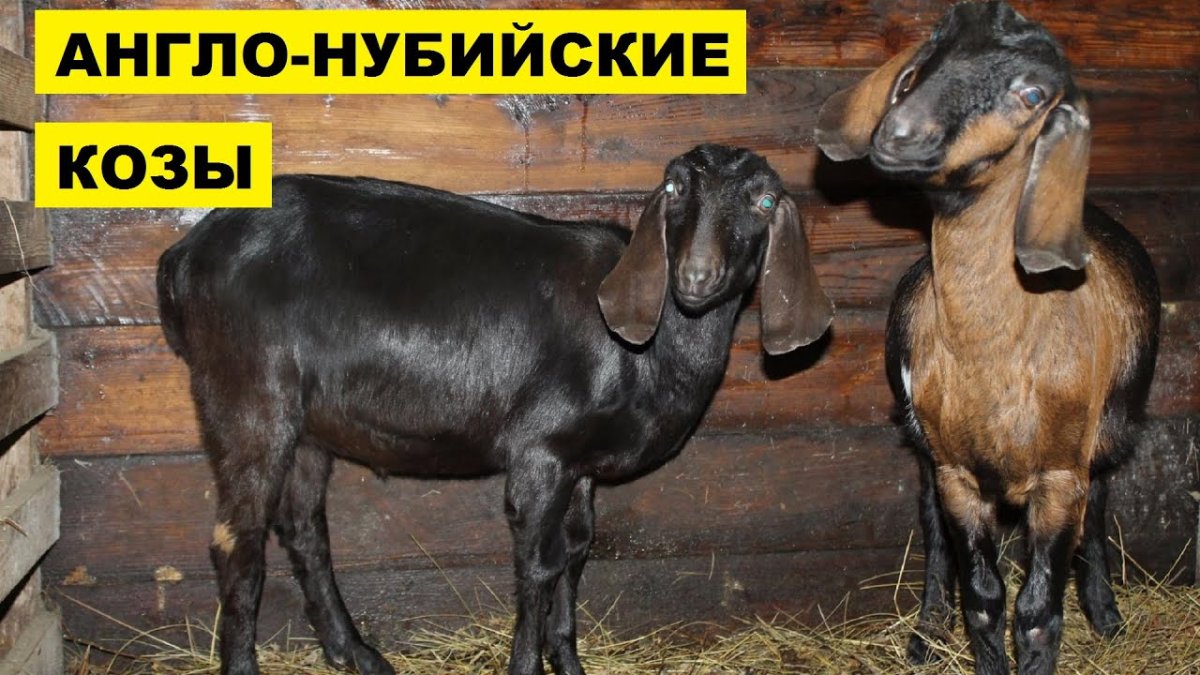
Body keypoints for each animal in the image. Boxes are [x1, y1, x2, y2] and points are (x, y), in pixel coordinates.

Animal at [156, 144, 833, 675]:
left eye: (765, 203)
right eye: (674, 189)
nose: (694, 276)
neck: (652, 347)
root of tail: (184, 254)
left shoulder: (581, 462)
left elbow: (577, 550)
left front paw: (570, 662)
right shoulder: (542, 451)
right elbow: (538, 562)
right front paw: (528, 663)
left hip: (309, 426)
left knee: (302, 530)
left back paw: (359, 654)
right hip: (248, 395)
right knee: (237, 542)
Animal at [815, 3, 1159, 674]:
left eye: (1033, 94)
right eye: (927, 57)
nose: (899, 132)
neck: (991, 355)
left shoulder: (1060, 474)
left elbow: (1037, 610)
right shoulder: (954, 470)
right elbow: (983, 595)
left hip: (1105, 436)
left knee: (1099, 511)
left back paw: (1106, 616)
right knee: (933, 533)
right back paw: (925, 634)